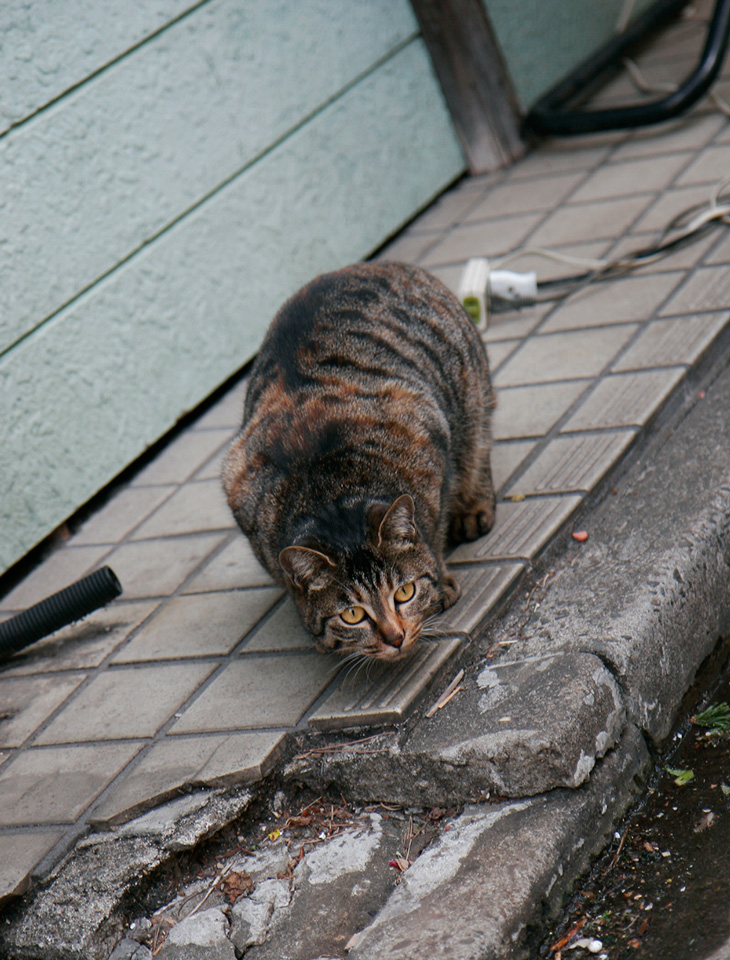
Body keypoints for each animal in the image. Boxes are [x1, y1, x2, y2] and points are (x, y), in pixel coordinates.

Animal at [222, 262, 494, 660]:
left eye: (403, 593)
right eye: (353, 615)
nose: (395, 637)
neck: (328, 489)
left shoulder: (426, 432)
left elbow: (434, 526)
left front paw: (439, 580)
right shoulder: (239, 483)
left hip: (469, 400)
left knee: (478, 447)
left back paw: (473, 507)